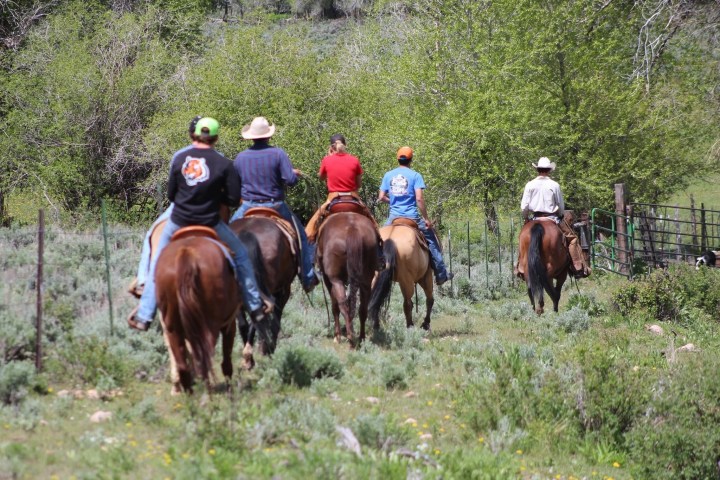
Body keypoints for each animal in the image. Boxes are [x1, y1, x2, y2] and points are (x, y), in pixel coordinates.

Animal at [316, 209, 380, 344]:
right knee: (362, 308)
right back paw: (361, 338)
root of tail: (352, 229)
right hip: (366, 280)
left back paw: (350, 337)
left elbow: (335, 306)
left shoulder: (328, 279)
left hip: (336, 280)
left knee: (342, 305)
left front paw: (337, 336)